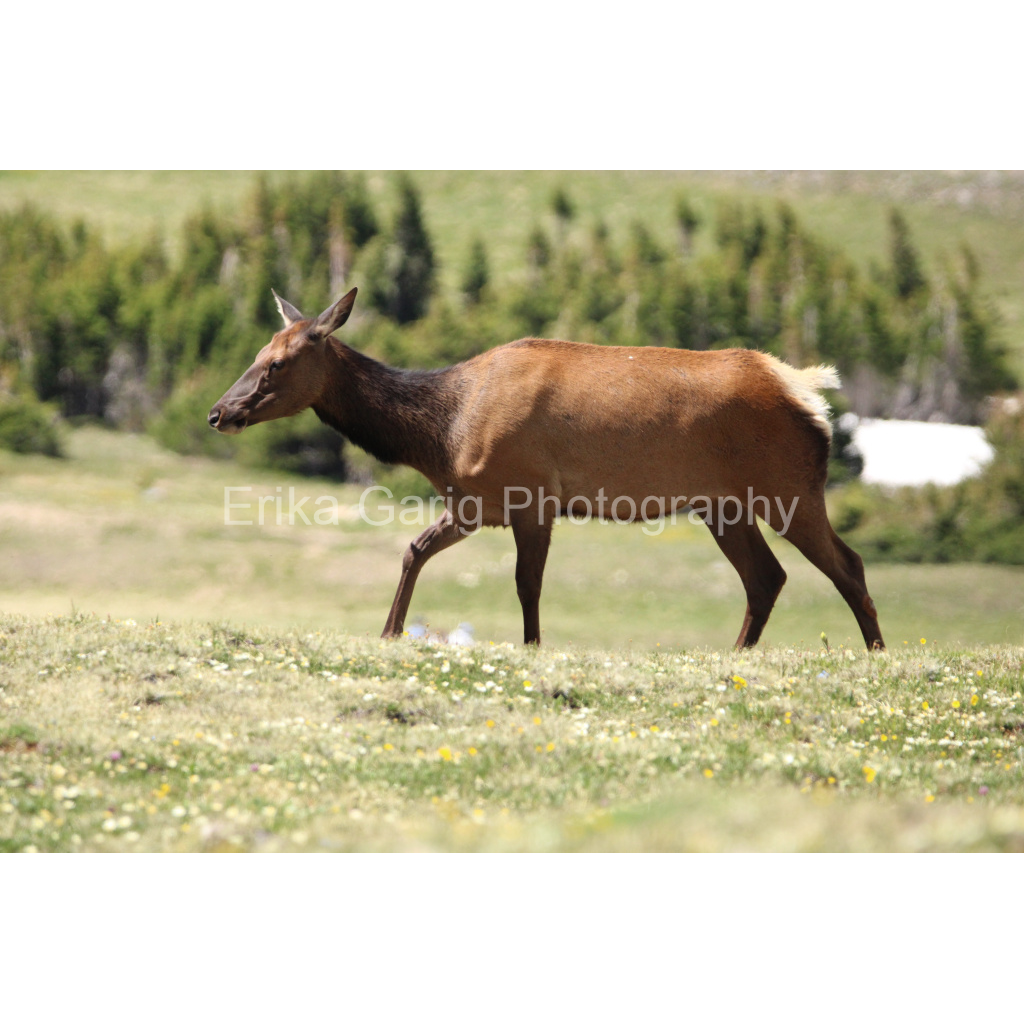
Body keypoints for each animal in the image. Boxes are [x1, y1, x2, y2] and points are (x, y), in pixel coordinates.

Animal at [209, 288, 885, 651]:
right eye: (256, 352)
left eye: (276, 363)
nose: (219, 412)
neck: (441, 435)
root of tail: (806, 390)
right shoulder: (474, 504)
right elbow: (413, 550)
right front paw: (390, 633)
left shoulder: (530, 493)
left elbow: (525, 584)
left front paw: (532, 647)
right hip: (723, 503)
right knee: (767, 578)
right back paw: (735, 655)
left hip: (789, 485)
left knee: (847, 565)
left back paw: (876, 654)